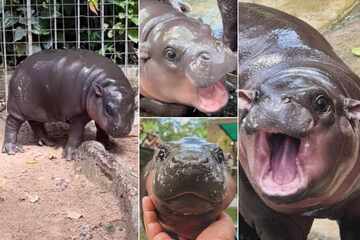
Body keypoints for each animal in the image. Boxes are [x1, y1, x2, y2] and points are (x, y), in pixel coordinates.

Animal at [1, 49, 135, 160]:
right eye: (108, 108)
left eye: (135, 107)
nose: (123, 129)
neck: (109, 84)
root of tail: (19, 66)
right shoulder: (77, 114)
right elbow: (76, 134)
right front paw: (71, 155)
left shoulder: (97, 111)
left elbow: (101, 127)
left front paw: (106, 145)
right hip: (17, 107)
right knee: (12, 122)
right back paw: (13, 149)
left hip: (36, 108)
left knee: (35, 123)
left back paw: (47, 142)